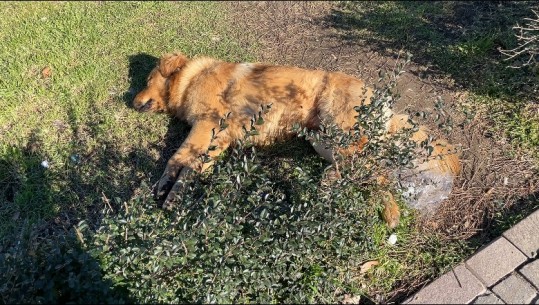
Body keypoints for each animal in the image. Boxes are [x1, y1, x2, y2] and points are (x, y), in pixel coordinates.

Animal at [132, 51, 460, 226]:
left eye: (146, 80)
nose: (131, 101)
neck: (190, 77)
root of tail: (382, 101)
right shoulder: (217, 136)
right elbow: (191, 166)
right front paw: (176, 190)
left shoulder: (207, 124)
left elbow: (178, 158)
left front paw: (166, 190)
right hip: (324, 142)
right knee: (369, 173)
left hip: (340, 133)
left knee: (368, 170)